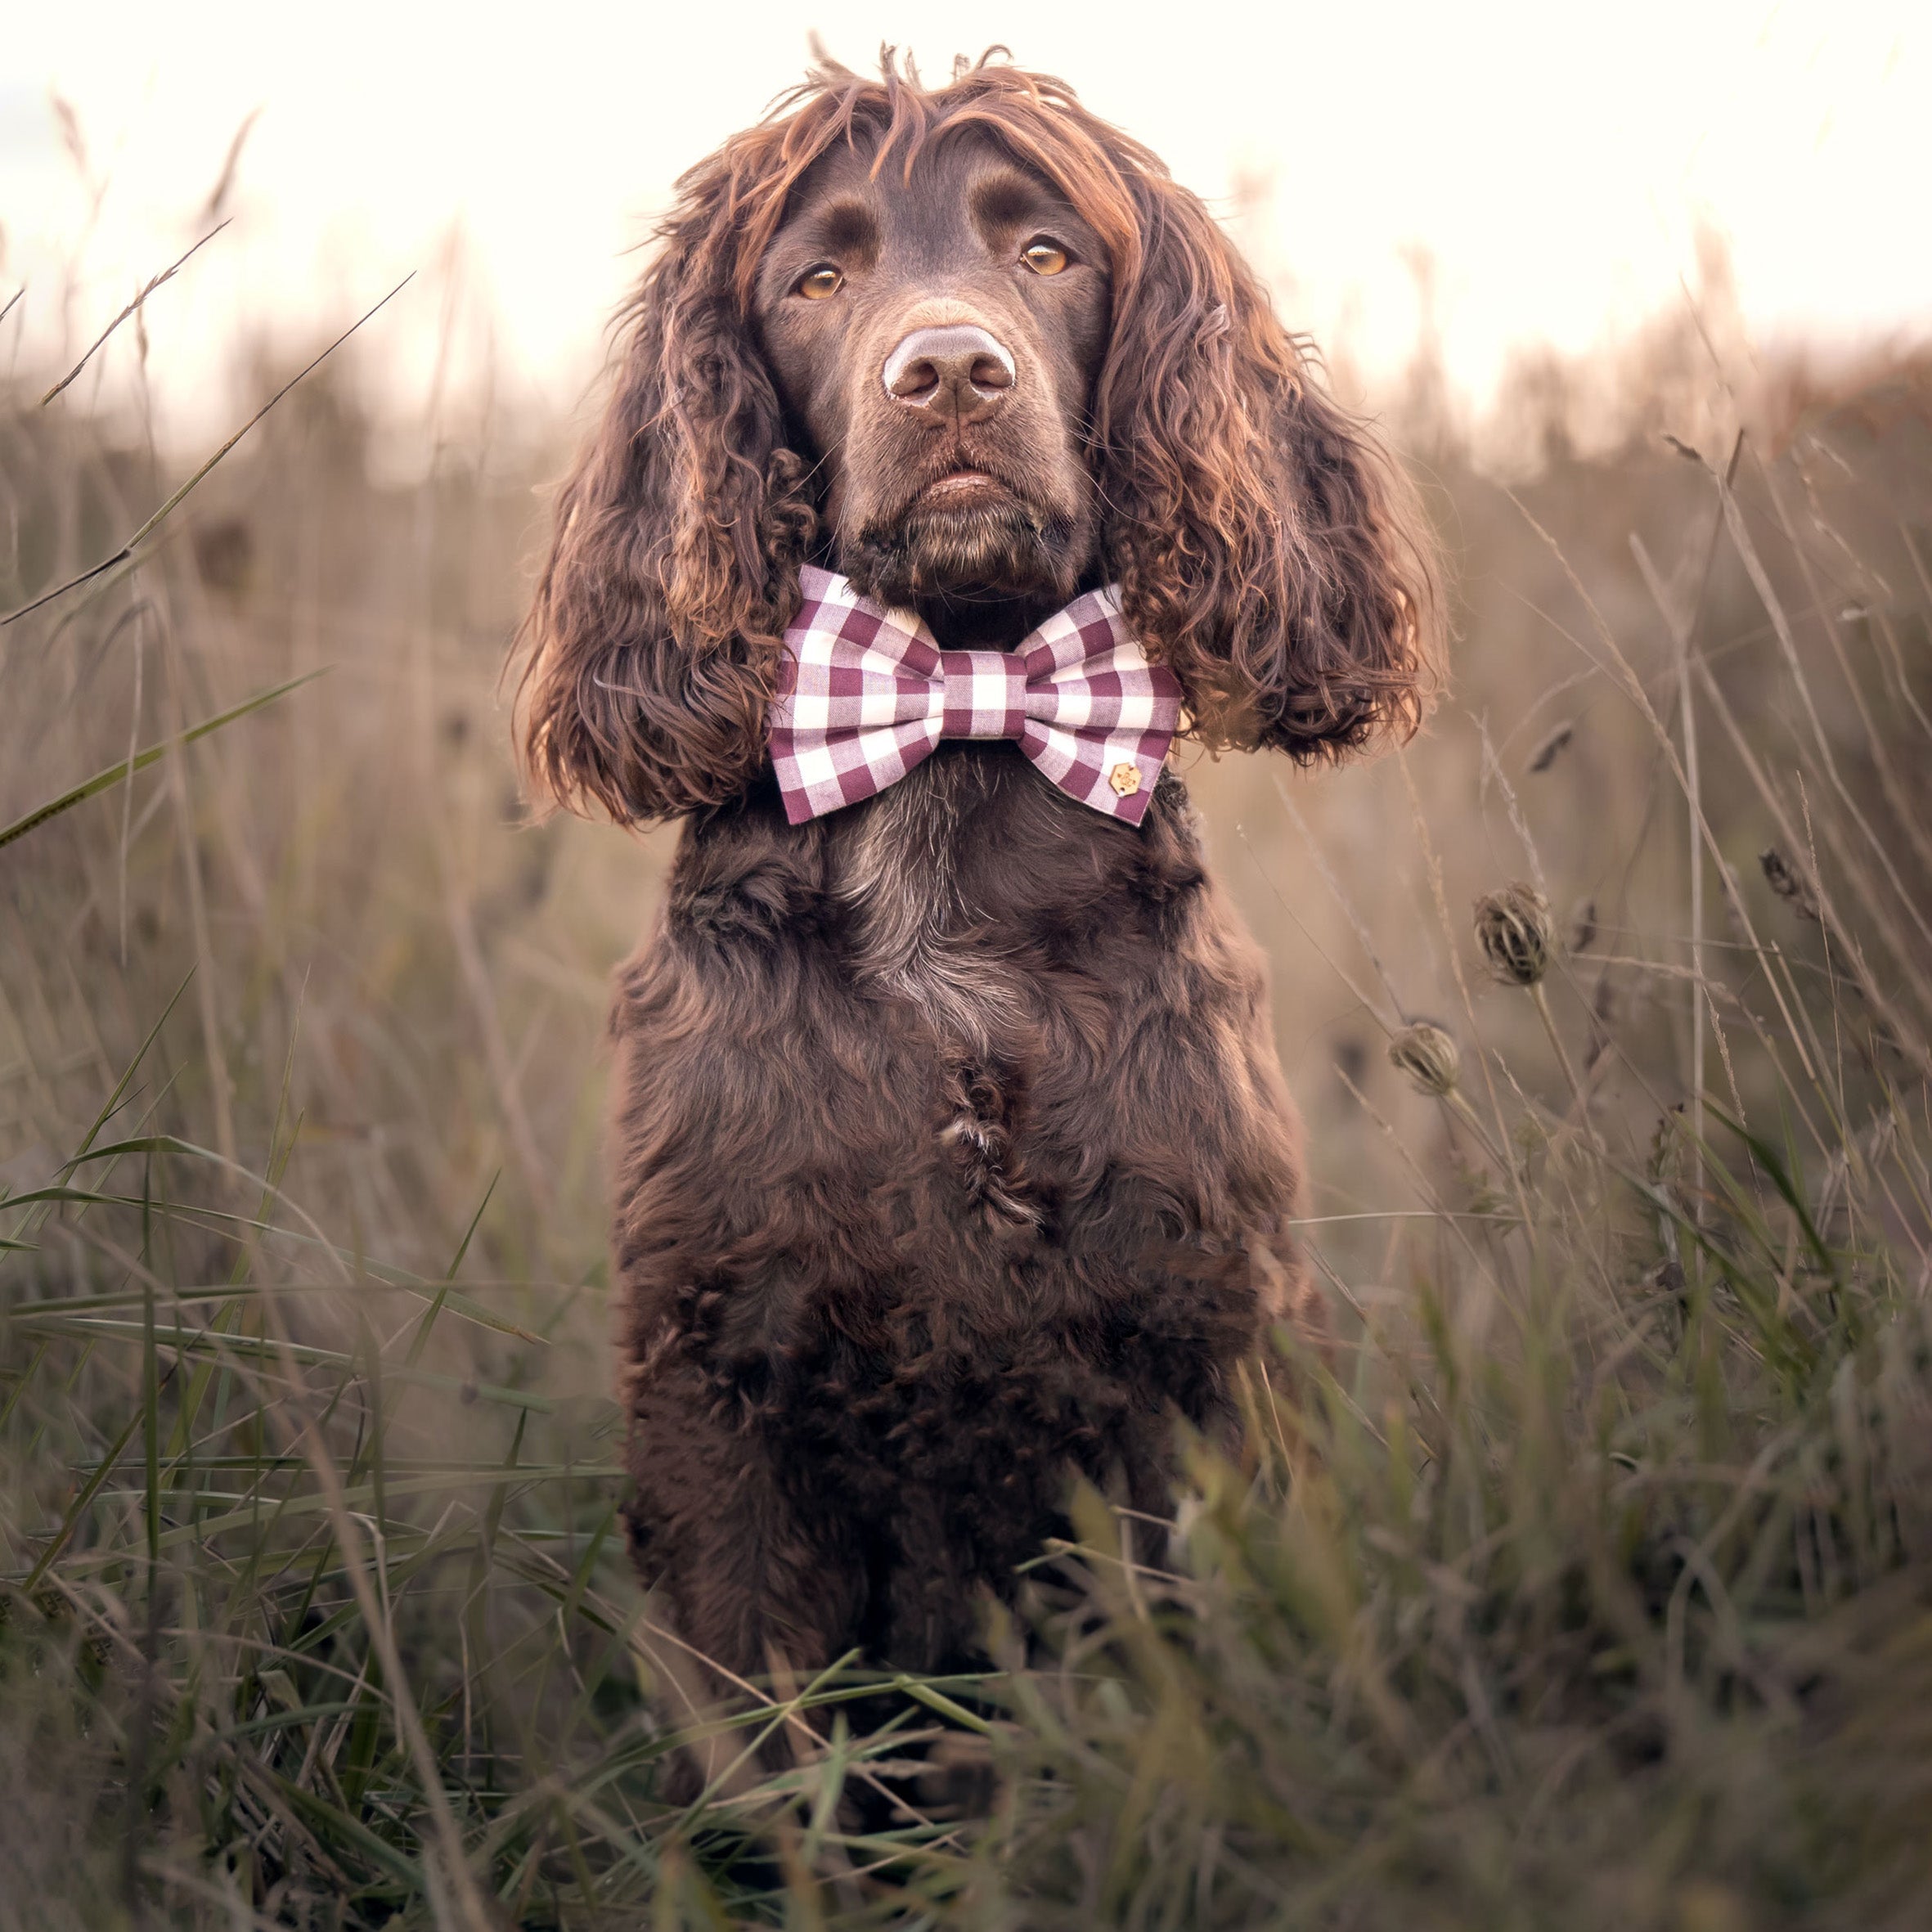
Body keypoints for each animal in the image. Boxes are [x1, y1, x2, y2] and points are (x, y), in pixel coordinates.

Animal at [514, 56, 1437, 1692]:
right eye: (816, 279)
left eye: (1047, 253)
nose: (948, 371)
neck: (953, 728)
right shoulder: (717, 1367)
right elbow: (767, 1732)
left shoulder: (1196, 1333)